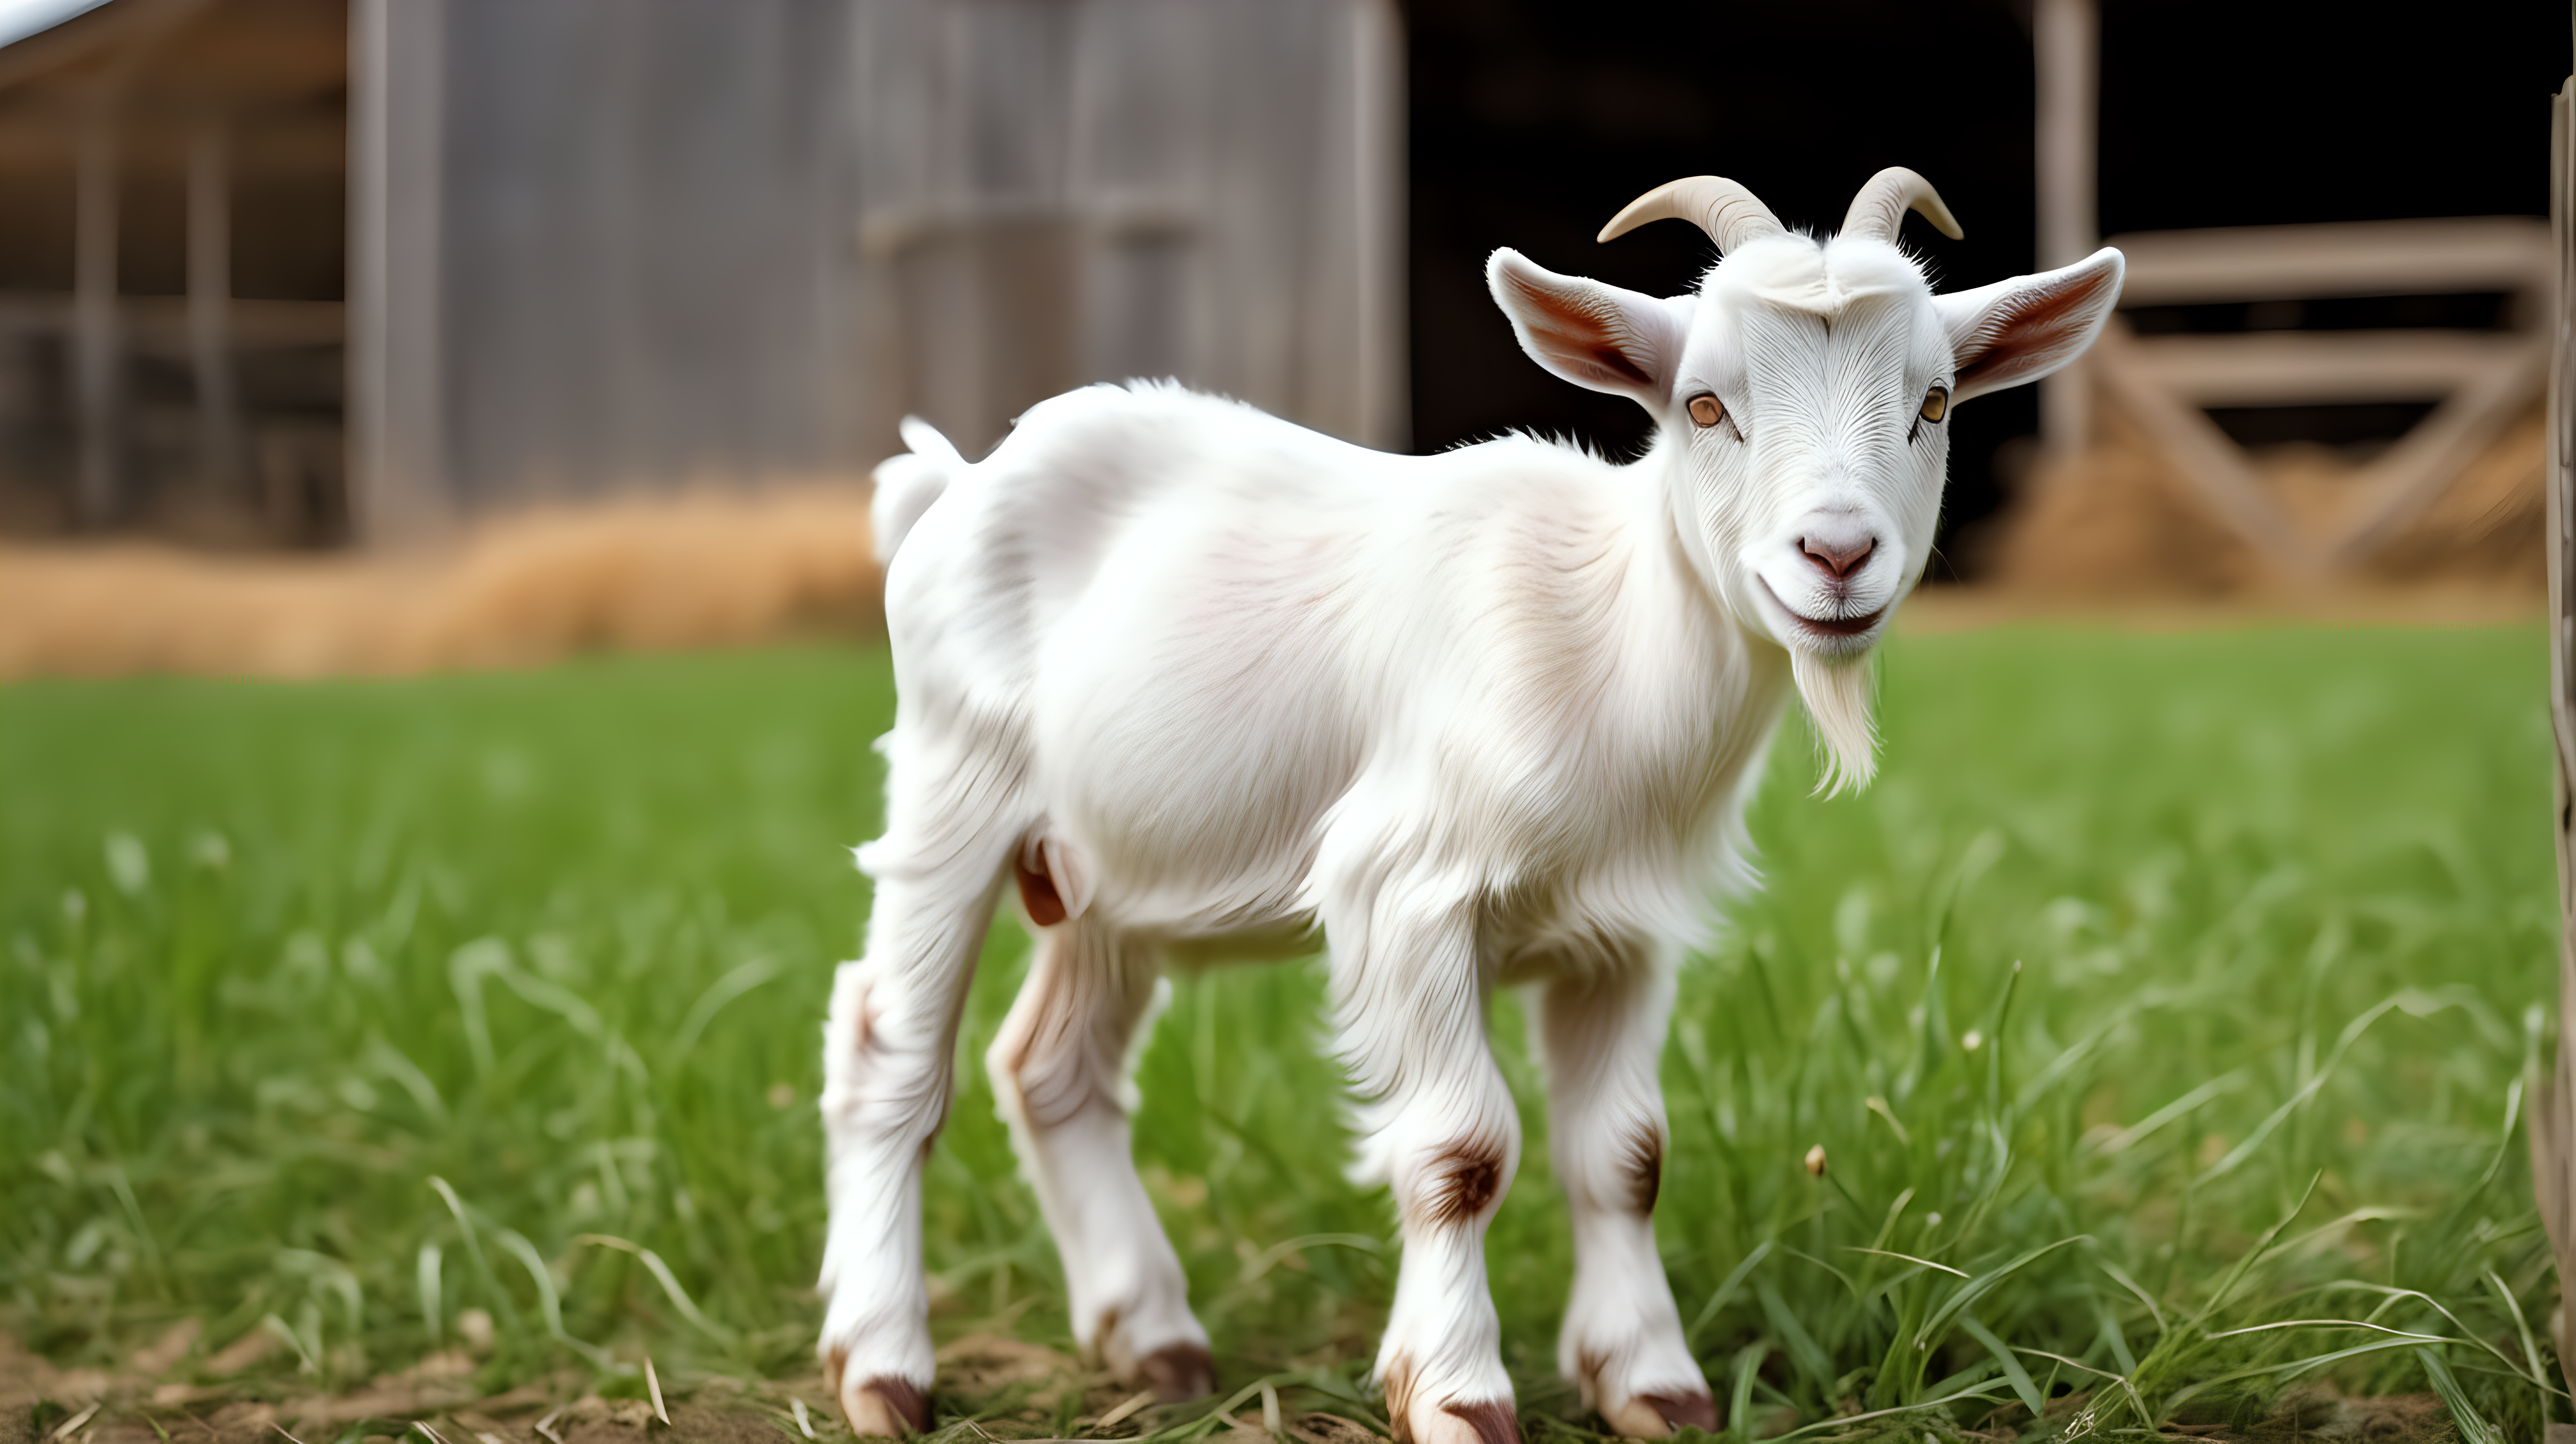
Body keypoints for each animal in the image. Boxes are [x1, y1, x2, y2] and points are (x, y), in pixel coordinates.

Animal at [814, 164, 2122, 1433]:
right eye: (1704, 404)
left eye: (1936, 402)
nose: (1839, 555)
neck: (1608, 634)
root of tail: (956, 481)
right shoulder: (1408, 894)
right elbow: (1463, 1151)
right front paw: (1454, 1392)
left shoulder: (1624, 932)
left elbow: (1627, 1155)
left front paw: (1652, 1382)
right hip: (954, 785)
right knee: (893, 1059)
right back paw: (884, 1369)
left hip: (1109, 875)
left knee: (1055, 1071)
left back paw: (1153, 1340)